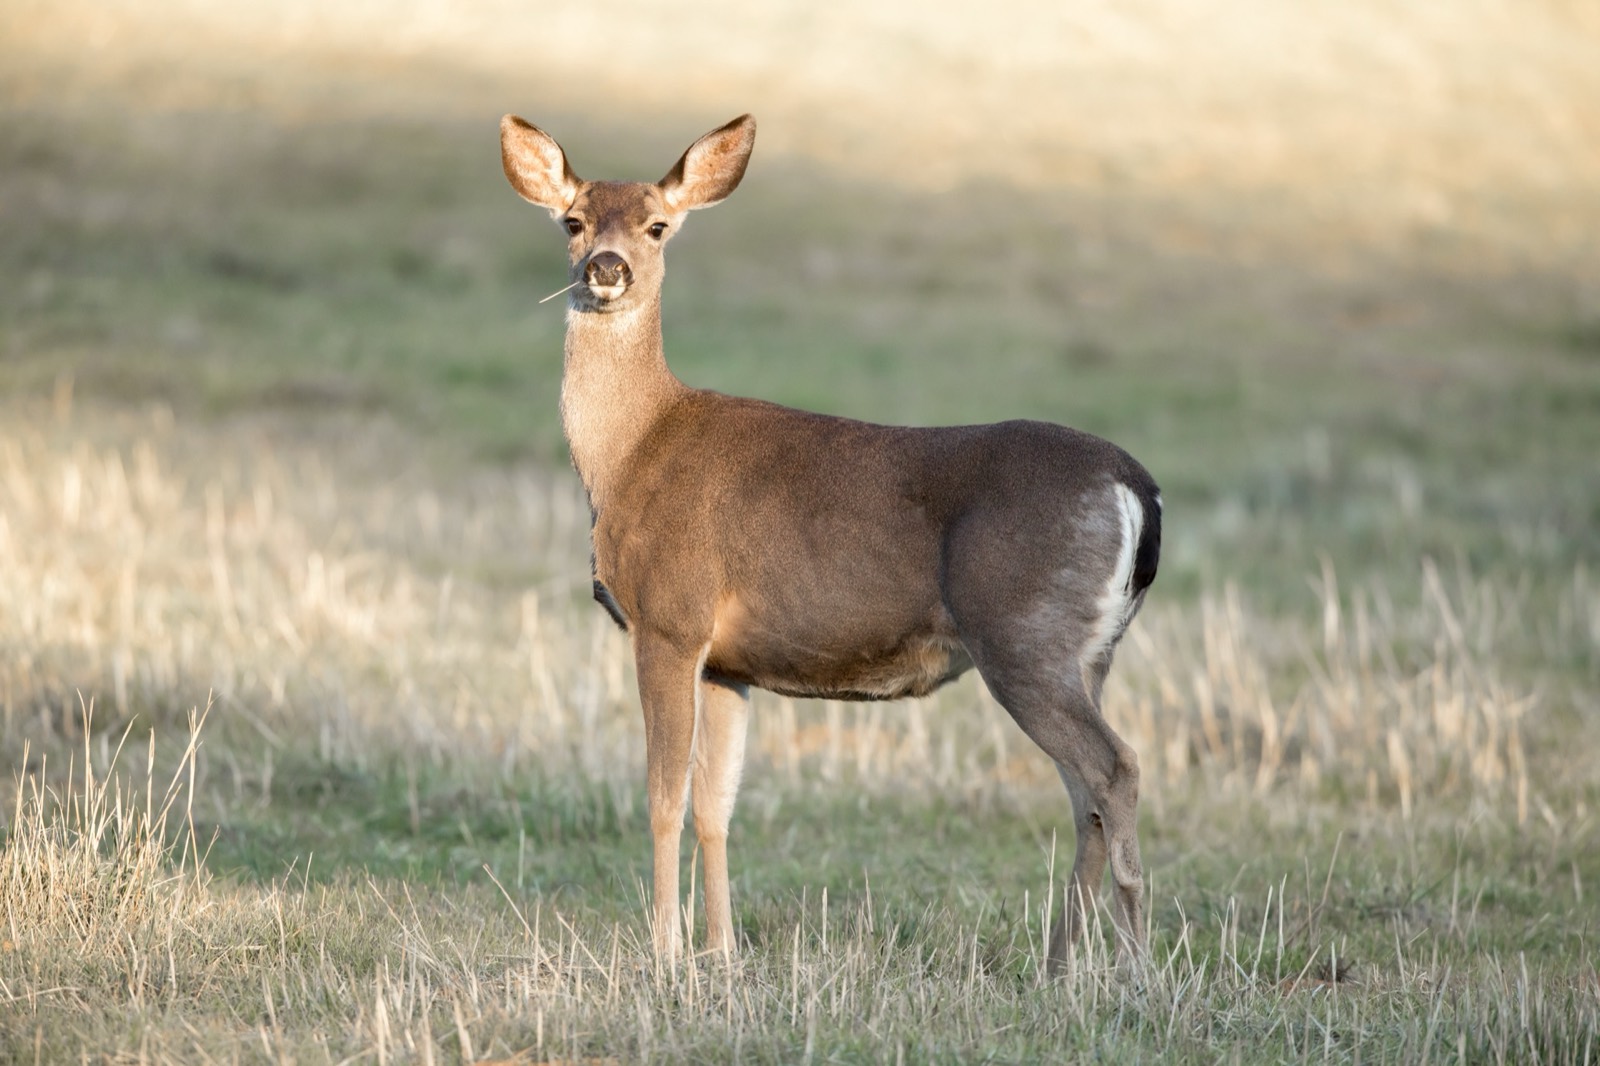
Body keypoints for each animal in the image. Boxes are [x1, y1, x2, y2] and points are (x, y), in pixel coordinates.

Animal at [499, 112, 1161, 973]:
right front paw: (721, 953)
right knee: (1085, 793)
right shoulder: (728, 662)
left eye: (657, 225)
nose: (605, 268)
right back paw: (1057, 967)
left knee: (1114, 769)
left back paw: (1138, 968)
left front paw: (666, 955)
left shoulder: (670, 619)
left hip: (1023, 635)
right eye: (573, 221)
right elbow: (715, 804)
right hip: (1086, 654)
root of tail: (1136, 485)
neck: (628, 452)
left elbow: (662, 797)